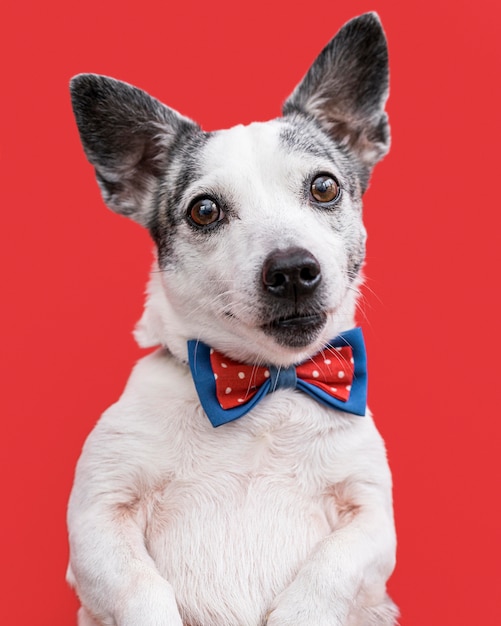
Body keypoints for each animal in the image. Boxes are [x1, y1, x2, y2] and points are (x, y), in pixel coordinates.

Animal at [66, 11, 396, 624]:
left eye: (324, 187)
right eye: (204, 211)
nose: (292, 269)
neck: (267, 384)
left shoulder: (370, 521)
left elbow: (329, 572)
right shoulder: (98, 520)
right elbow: (139, 588)